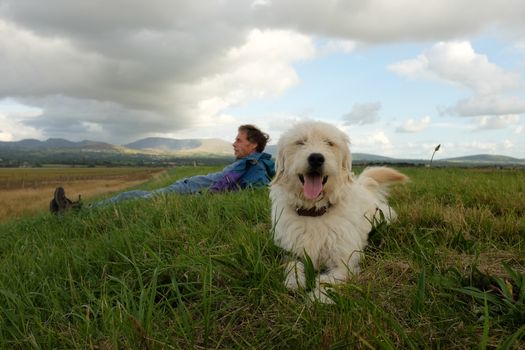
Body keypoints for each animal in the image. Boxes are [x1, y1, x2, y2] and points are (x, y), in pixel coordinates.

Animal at [268, 121, 408, 302]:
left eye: (329, 143)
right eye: (300, 142)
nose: (316, 158)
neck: (315, 211)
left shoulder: (344, 262)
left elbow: (326, 280)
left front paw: (316, 299)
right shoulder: (292, 252)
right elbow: (293, 266)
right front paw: (294, 283)